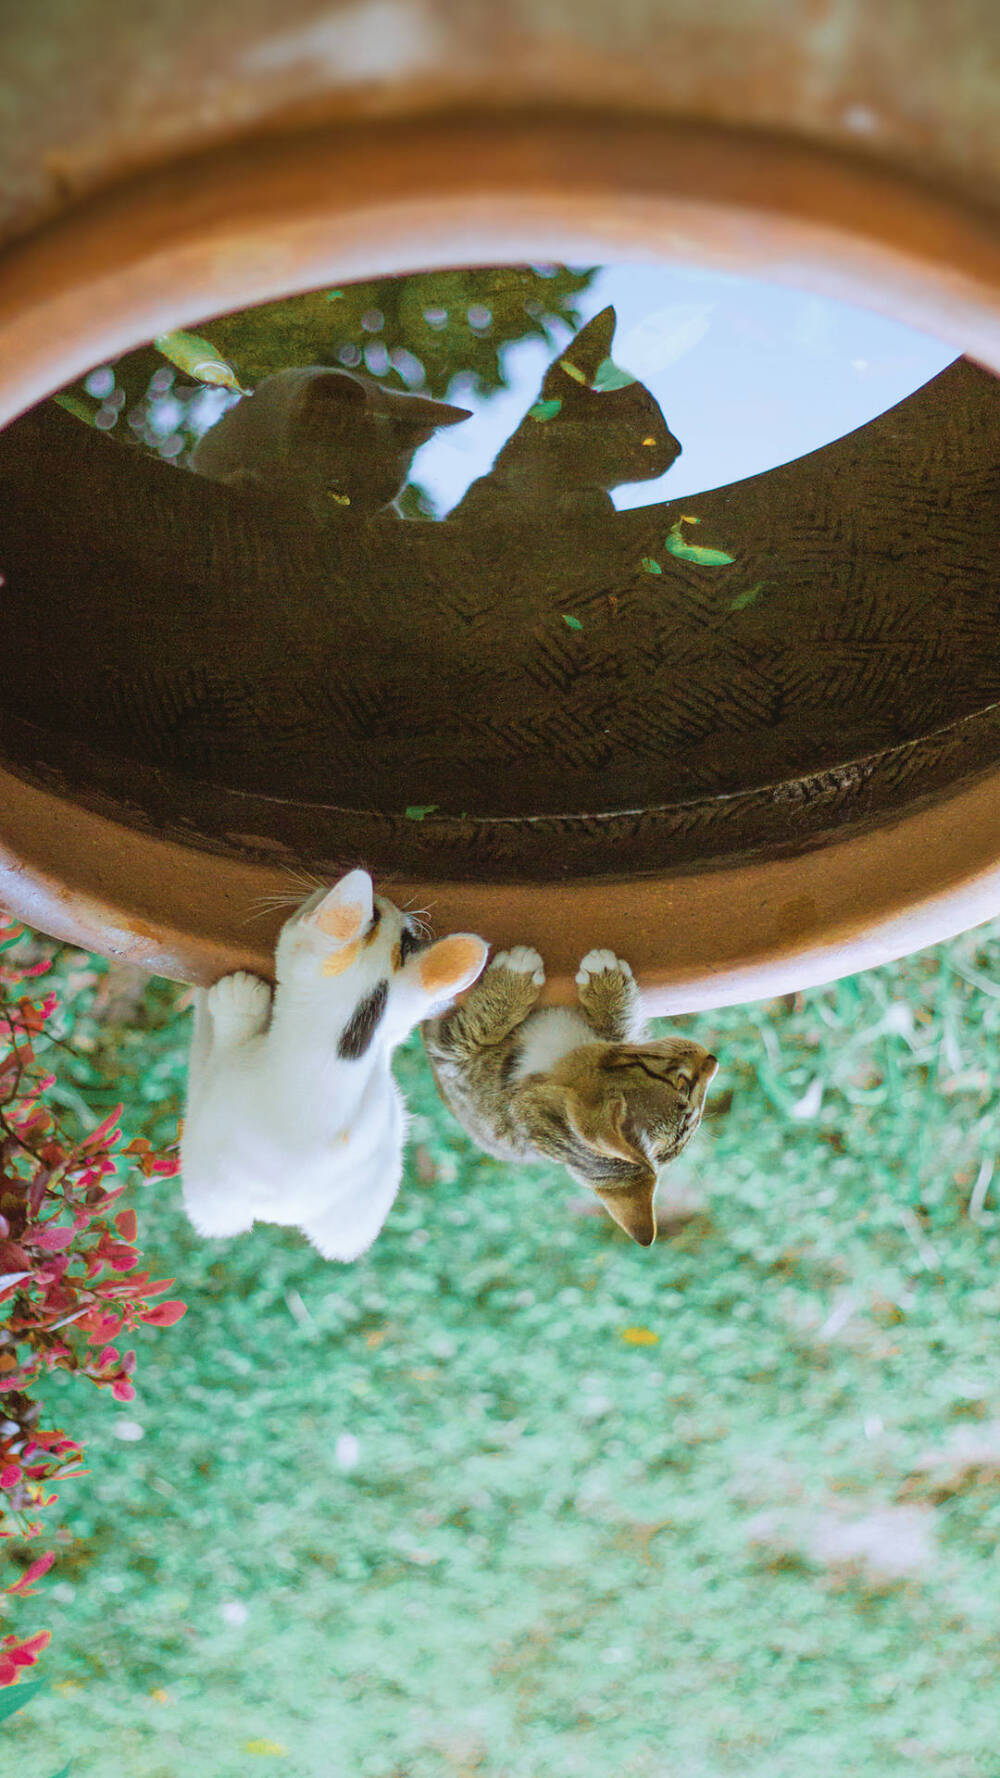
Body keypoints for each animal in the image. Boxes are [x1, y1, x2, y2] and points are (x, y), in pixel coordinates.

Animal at [184, 871, 491, 1265]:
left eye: (375, 912)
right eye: (405, 932)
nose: (388, 899)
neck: (333, 1064)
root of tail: (281, 1215)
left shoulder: (214, 1089)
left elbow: (215, 1039)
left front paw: (233, 1000)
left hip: (208, 1187)